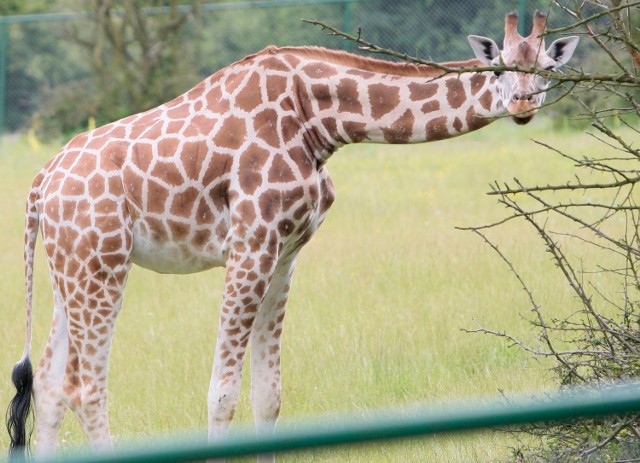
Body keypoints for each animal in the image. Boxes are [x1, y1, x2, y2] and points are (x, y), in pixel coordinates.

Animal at [6, 10, 576, 460]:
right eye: (499, 67)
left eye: (548, 69)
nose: (524, 104)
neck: (319, 120)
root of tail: (40, 184)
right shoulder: (251, 244)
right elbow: (222, 393)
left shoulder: (286, 252)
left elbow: (269, 394)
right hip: (100, 265)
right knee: (85, 388)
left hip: (72, 269)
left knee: (52, 385)